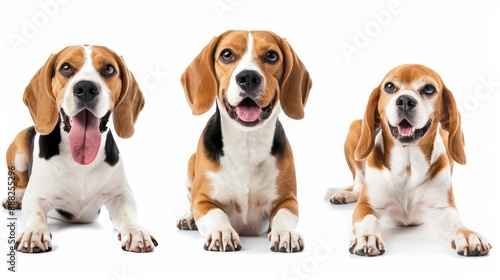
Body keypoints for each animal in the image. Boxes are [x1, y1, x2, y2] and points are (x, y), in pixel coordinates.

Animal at [1, 44, 158, 253]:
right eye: (66, 68)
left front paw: (135, 231)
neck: (79, 162)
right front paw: (34, 232)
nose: (85, 88)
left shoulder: (121, 195)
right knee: (19, 182)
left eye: (109, 69)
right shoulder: (36, 196)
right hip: (17, 152)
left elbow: (128, 215)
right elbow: (36, 213)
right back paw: (16, 198)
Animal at [175, 29, 308, 253]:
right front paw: (222, 232)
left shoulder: (288, 199)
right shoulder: (202, 200)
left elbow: (283, 215)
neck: (247, 145)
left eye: (272, 56)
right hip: (189, 164)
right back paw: (189, 218)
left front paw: (285, 233)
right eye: (226, 54)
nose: (248, 77)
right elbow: (216, 213)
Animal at [328, 64, 492, 258]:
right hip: (355, 132)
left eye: (429, 89)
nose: (405, 100)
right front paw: (367, 237)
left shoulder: (443, 209)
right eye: (389, 86)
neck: (407, 166)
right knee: (358, 184)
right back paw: (346, 194)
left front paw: (468, 235)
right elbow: (370, 220)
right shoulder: (365, 205)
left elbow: (456, 223)